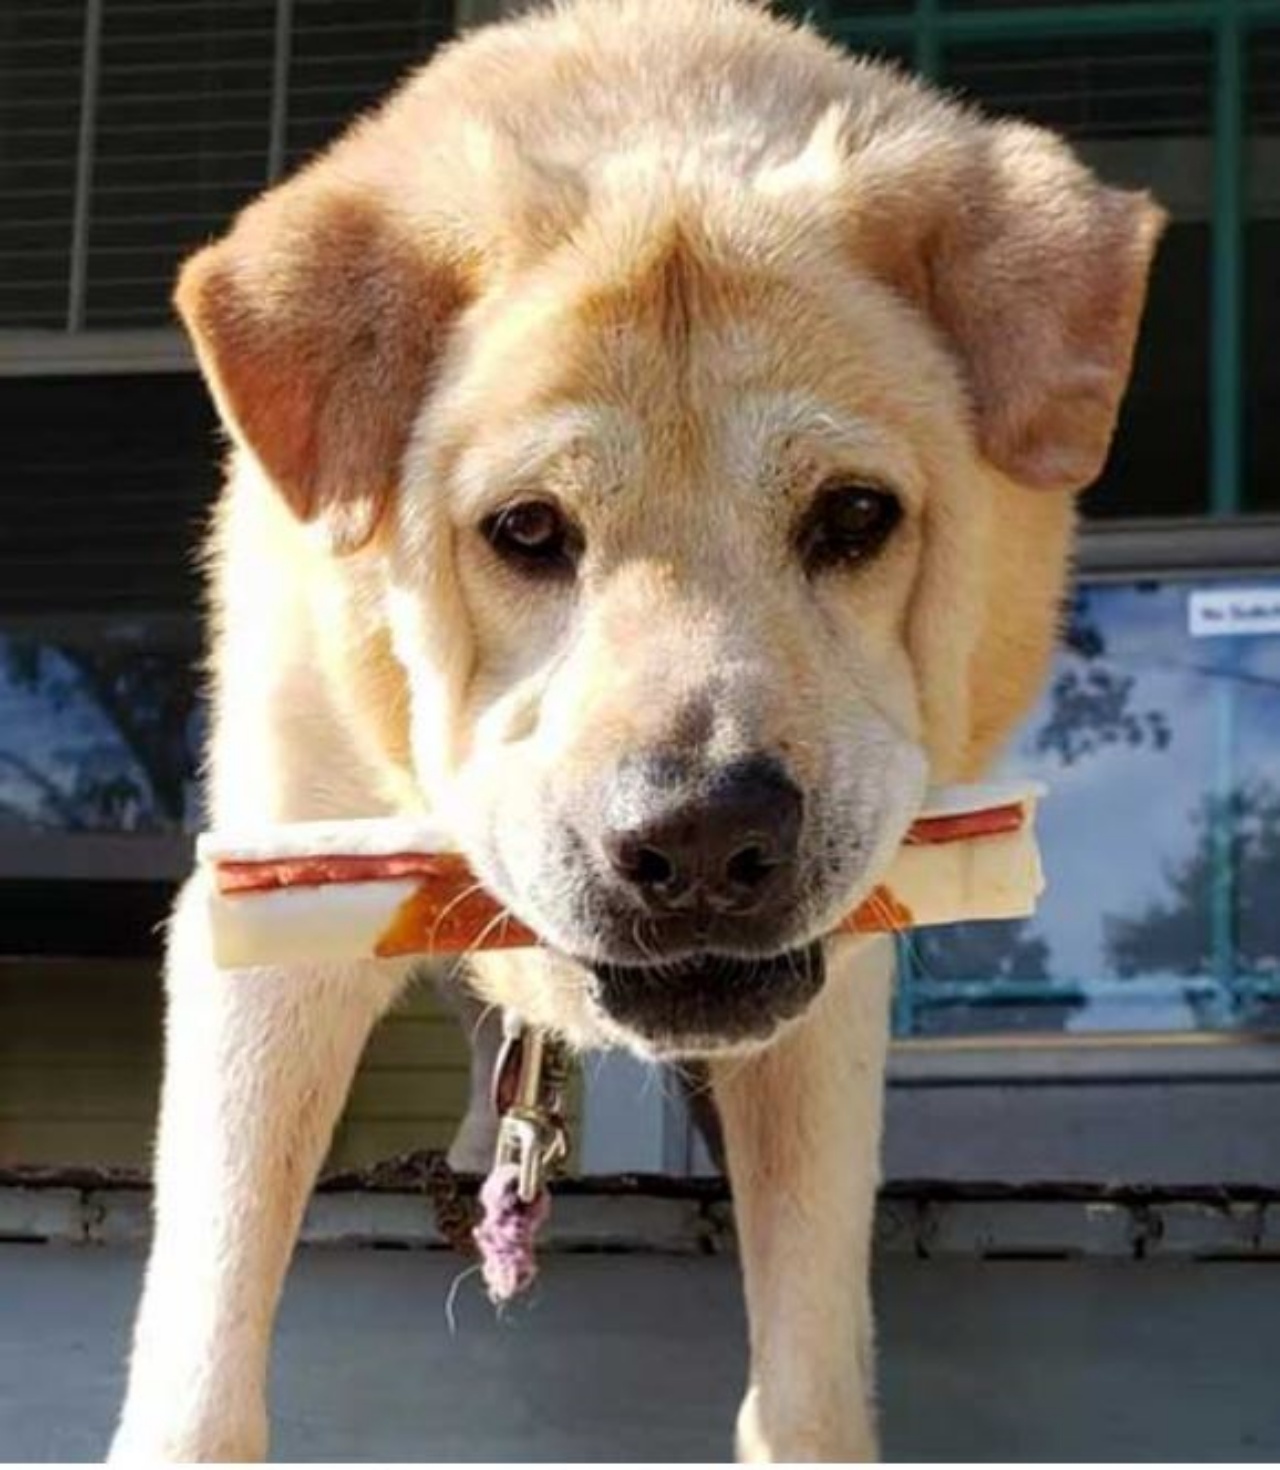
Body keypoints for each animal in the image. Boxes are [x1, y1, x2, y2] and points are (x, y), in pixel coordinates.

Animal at [107, 2, 1163, 1458]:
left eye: (854, 515)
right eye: (526, 529)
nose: (707, 837)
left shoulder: (831, 998)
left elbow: (807, 1356)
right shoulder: (267, 908)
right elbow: (205, 1325)